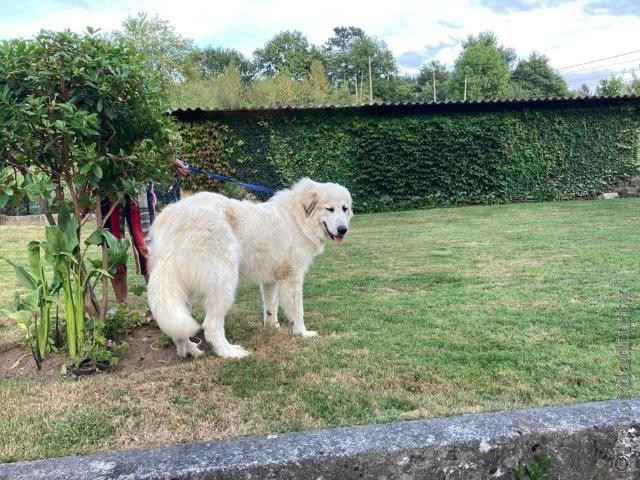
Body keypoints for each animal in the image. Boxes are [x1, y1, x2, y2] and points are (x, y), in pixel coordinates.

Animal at [147, 178, 352, 358]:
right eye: (330, 209)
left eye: (345, 209)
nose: (343, 230)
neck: (298, 218)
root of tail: (174, 216)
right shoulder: (293, 276)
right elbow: (297, 309)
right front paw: (302, 333)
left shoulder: (270, 279)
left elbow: (271, 306)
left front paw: (273, 327)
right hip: (224, 281)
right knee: (211, 326)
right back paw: (229, 353)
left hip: (182, 288)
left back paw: (189, 350)